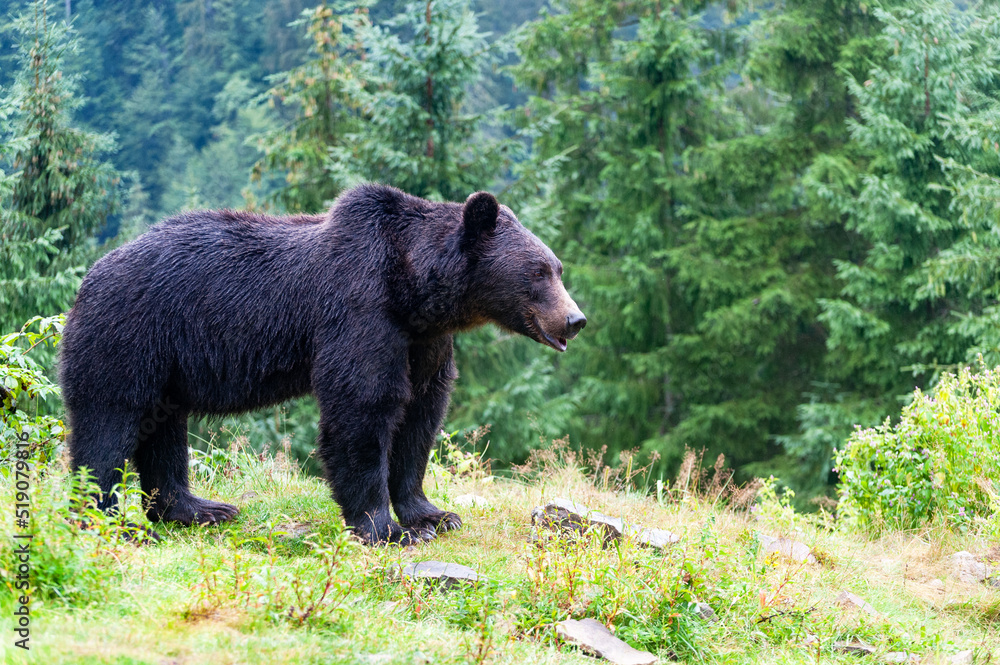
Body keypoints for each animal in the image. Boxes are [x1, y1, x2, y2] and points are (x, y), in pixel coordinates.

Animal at [58, 184, 584, 544]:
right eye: (537, 272)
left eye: (558, 268)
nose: (575, 319)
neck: (414, 289)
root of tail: (88, 278)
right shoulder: (360, 311)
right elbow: (362, 407)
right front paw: (386, 528)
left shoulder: (424, 341)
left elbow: (420, 417)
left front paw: (433, 514)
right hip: (129, 337)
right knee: (108, 426)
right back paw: (110, 521)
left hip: (166, 366)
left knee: (163, 431)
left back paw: (198, 508)